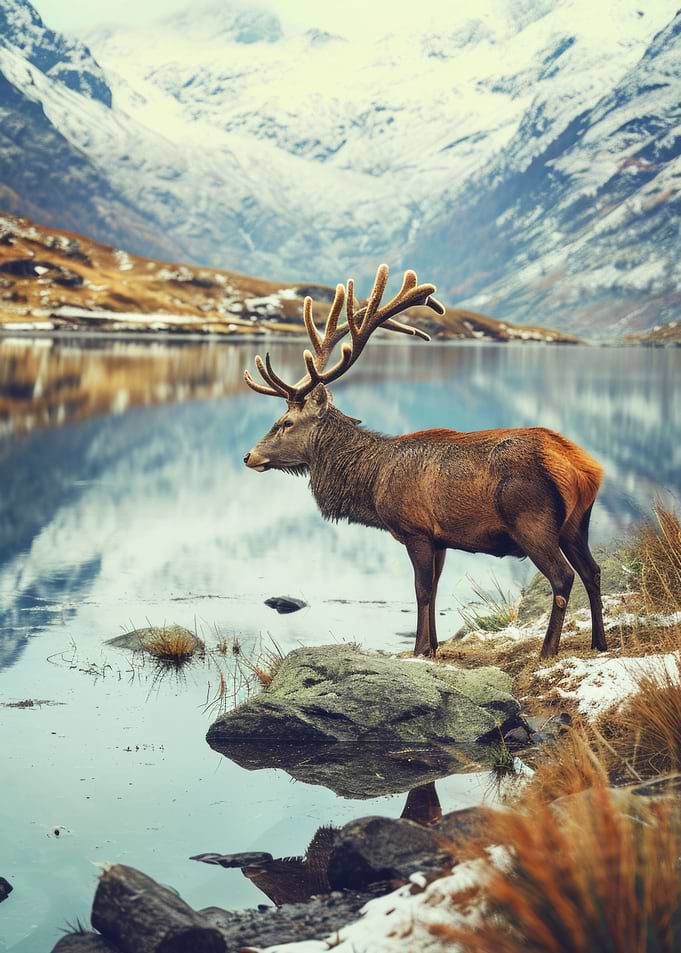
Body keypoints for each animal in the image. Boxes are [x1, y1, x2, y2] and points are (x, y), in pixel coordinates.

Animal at [242, 264, 607, 660]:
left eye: (286, 422)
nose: (249, 455)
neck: (372, 484)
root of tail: (584, 469)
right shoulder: (441, 538)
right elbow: (435, 586)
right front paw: (432, 646)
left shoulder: (414, 528)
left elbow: (422, 590)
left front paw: (419, 649)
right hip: (577, 524)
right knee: (593, 571)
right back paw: (599, 642)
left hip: (532, 520)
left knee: (563, 577)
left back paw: (547, 650)